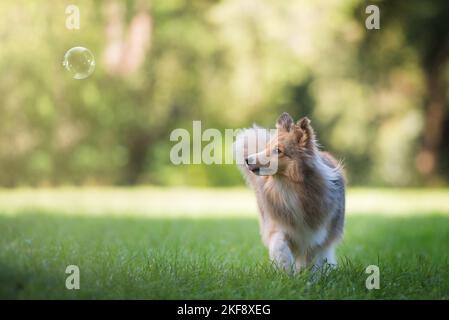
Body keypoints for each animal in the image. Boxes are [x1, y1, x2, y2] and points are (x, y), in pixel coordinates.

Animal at [233, 112, 344, 272]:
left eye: (278, 150)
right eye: (267, 147)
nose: (248, 160)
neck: (289, 186)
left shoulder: (315, 236)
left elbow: (311, 261)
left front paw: (306, 275)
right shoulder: (278, 225)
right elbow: (279, 246)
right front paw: (285, 269)